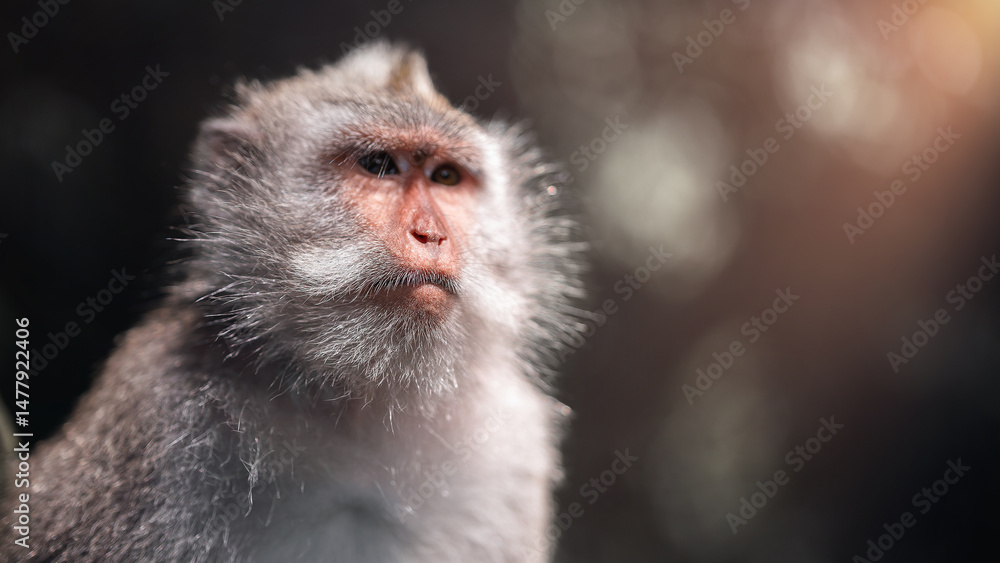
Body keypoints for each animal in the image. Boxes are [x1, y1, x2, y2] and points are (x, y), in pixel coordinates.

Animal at [0, 42, 584, 562]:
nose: (431, 235)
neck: (364, 408)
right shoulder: (159, 419)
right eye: (379, 165)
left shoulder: (514, 447)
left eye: (445, 177)